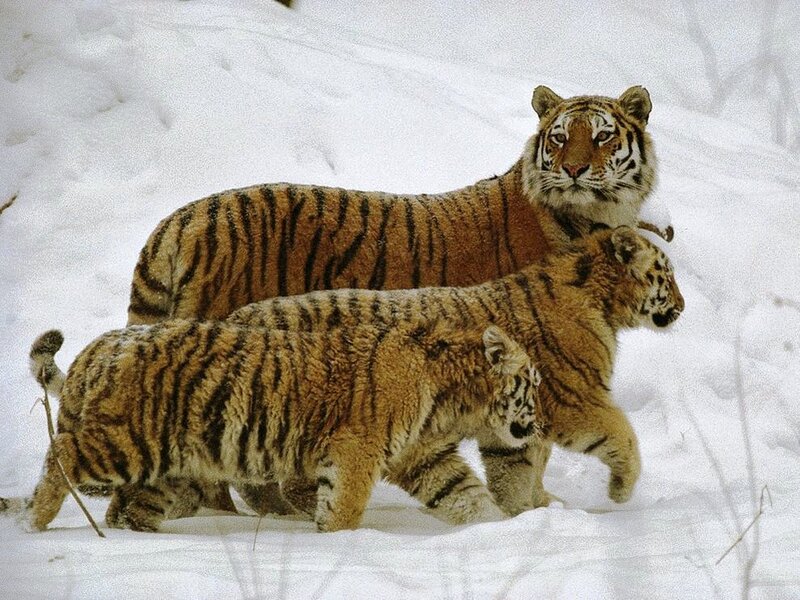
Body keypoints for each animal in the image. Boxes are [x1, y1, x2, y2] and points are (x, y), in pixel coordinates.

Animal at [16, 320, 541, 533]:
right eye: (532, 384)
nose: (539, 424)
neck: (451, 395)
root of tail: (100, 347)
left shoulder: (424, 454)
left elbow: (466, 495)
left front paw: (502, 532)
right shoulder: (357, 451)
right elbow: (344, 508)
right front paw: (341, 541)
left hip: (167, 468)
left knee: (126, 510)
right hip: (128, 443)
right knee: (61, 453)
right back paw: (35, 523)